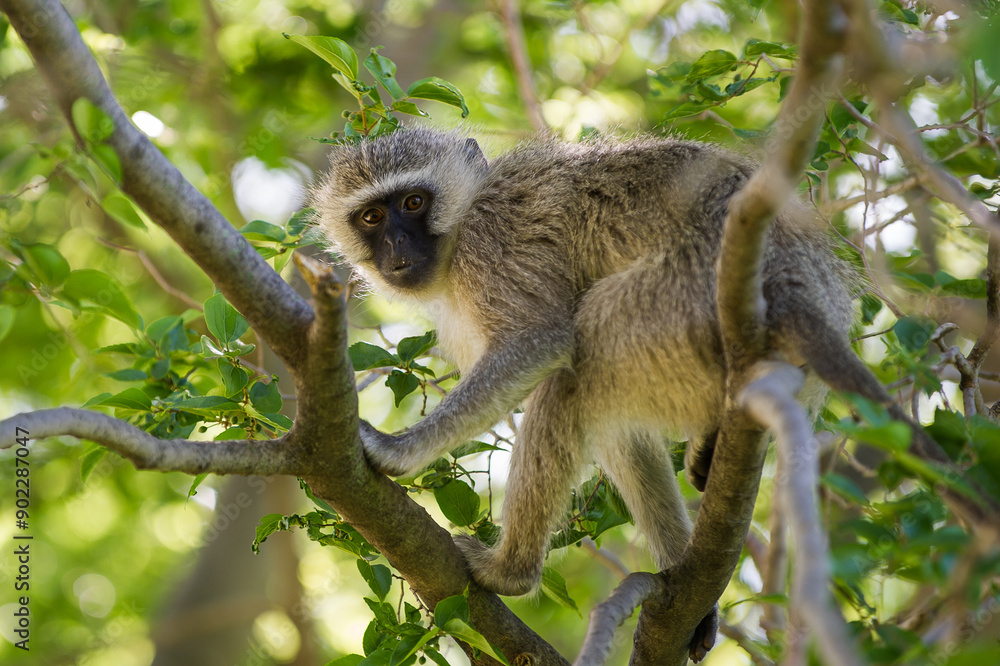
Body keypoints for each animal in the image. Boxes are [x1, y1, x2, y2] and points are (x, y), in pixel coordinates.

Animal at [312, 127, 869, 660]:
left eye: (413, 203)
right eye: (371, 216)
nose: (397, 246)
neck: (467, 216)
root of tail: (792, 279)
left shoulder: (492, 246)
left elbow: (539, 341)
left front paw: (396, 452)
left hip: (677, 303)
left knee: (575, 368)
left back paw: (511, 571)